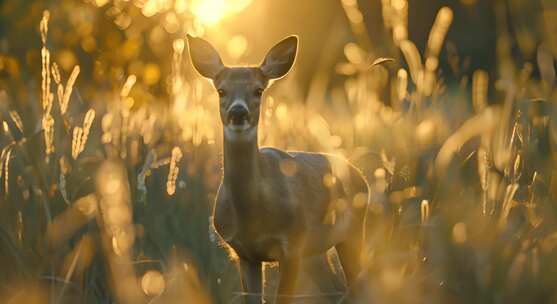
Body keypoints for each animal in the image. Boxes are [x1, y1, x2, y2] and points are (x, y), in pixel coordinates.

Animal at [186, 33, 370, 304]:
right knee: (337, 288)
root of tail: (359, 175)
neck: (252, 215)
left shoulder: (292, 245)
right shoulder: (244, 254)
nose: (238, 112)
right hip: (316, 252)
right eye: (221, 90)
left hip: (352, 232)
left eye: (258, 90)